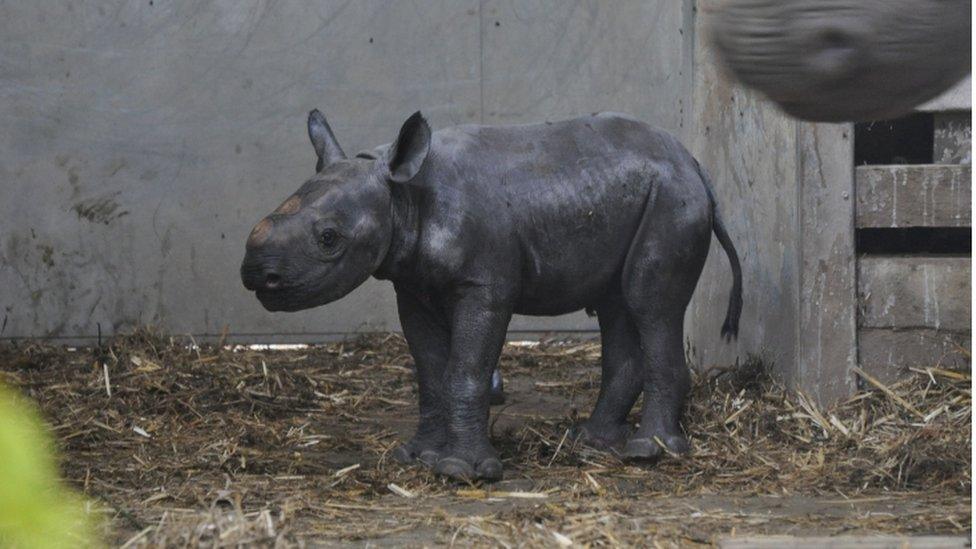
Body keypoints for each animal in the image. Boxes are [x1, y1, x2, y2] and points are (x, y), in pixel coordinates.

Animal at [242, 109, 740, 478]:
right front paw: (416, 456)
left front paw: (462, 471)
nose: (255, 275)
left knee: (648, 304)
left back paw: (648, 452)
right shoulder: (413, 286)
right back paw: (591, 442)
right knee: (617, 305)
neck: (401, 194)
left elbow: (465, 370)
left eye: (329, 238)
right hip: (637, 195)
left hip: (672, 200)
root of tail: (695, 165)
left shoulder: (484, 286)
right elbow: (430, 372)